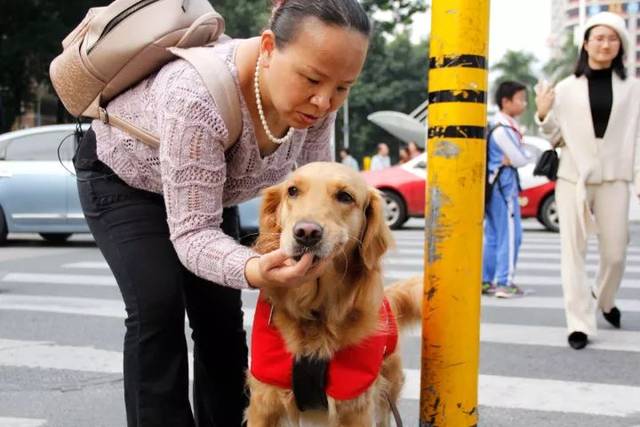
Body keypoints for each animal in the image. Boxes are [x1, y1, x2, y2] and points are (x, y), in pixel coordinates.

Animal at [248, 162, 422, 426]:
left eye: (345, 197)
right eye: (292, 191)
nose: (306, 232)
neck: (316, 313)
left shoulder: (356, 408)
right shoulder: (263, 403)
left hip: (387, 388)